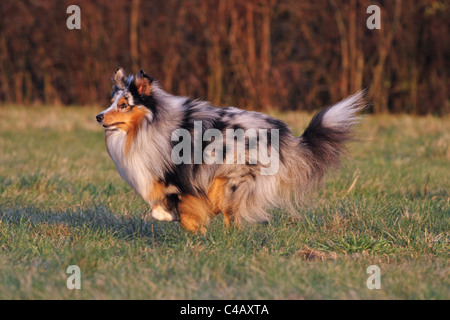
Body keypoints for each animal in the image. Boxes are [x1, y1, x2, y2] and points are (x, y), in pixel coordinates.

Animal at [96, 67, 366, 232]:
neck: (148, 127)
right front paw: (173, 216)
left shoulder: (182, 175)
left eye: (124, 105)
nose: (99, 117)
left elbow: (180, 207)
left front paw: (190, 226)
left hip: (236, 176)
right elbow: (161, 205)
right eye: (112, 102)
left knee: (230, 211)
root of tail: (285, 135)